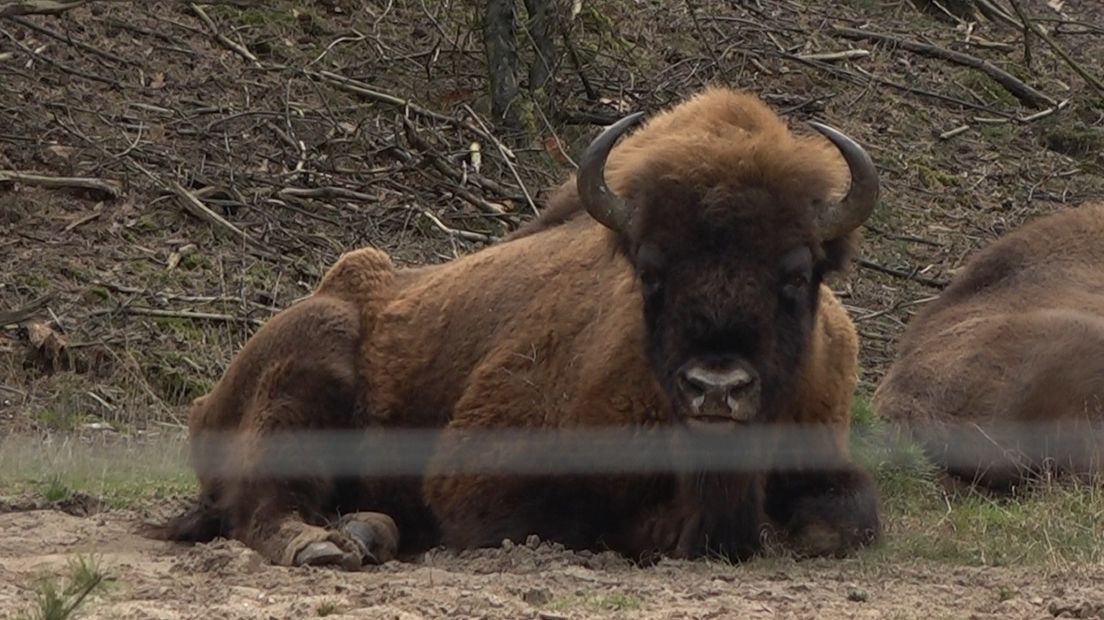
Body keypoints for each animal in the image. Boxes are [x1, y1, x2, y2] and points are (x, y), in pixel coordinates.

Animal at [151, 85, 883, 564]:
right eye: (651, 271)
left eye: (797, 274)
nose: (717, 387)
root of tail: (207, 401)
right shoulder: (486, 475)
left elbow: (847, 525)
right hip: (309, 366)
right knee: (265, 502)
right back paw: (330, 545)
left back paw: (368, 530)